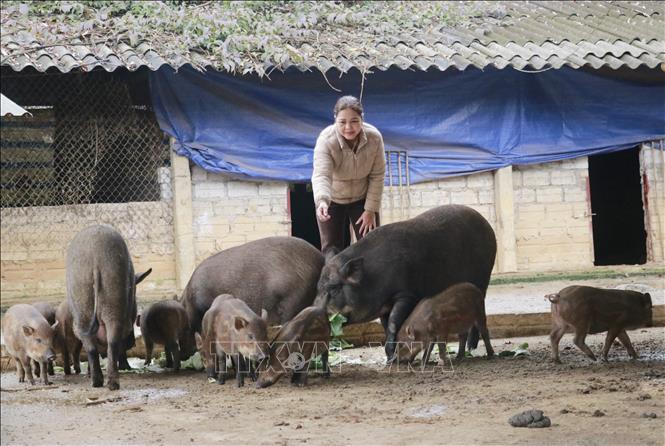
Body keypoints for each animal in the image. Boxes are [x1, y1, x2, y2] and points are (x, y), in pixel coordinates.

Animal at [314, 204, 496, 360]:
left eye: (334, 288)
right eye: (318, 288)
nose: (314, 310)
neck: (373, 277)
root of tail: (487, 224)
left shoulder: (406, 294)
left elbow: (394, 323)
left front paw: (391, 357)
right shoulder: (384, 306)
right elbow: (386, 326)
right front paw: (389, 358)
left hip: (483, 277)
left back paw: (472, 347)